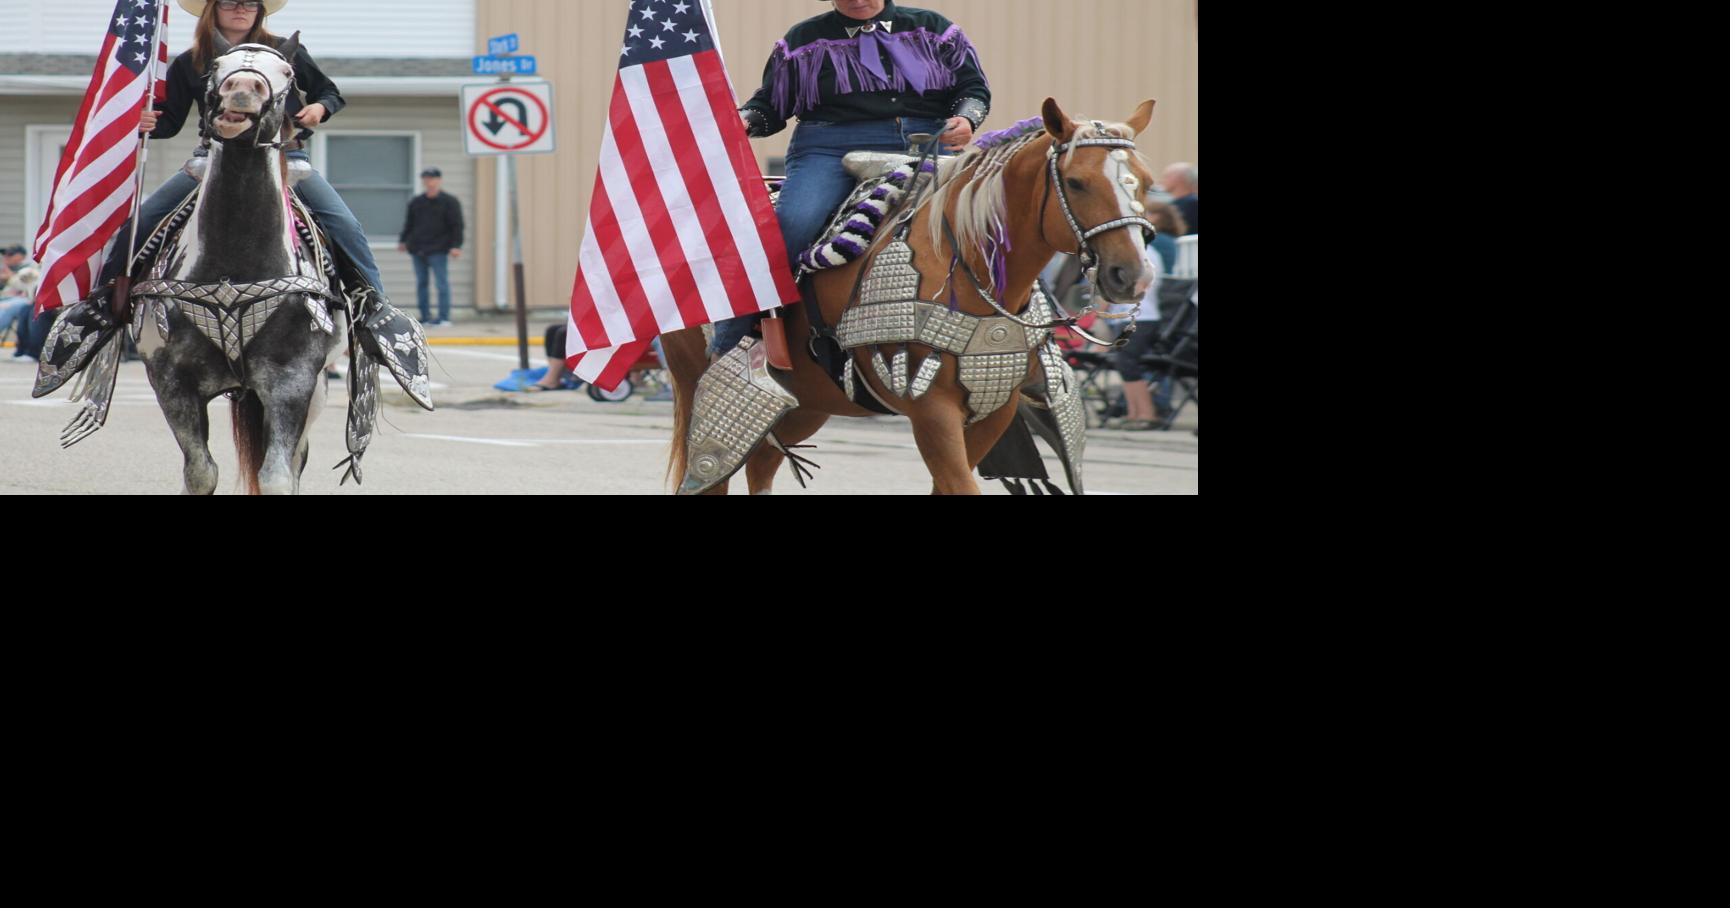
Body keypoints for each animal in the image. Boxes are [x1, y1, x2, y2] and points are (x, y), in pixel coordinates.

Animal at [667, 99, 1155, 494]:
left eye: (1146, 183)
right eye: (1076, 182)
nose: (1131, 275)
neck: (963, 266)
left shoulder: (994, 410)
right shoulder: (932, 412)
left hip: (811, 399)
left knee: (763, 462)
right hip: (707, 386)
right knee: (713, 472)